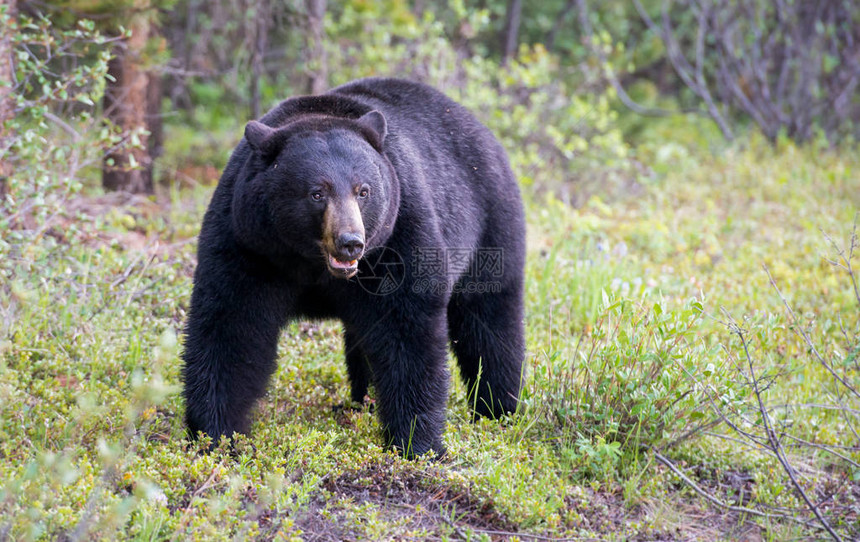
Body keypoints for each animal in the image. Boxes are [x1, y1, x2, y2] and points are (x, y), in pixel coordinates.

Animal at [183, 77, 524, 460]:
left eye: (364, 190)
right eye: (317, 192)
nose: (351, 242)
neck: (311, 264)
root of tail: (479, 127)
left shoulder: (398, 237)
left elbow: (407, 330)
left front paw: (416, 443)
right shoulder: (249, 242)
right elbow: (231, 326)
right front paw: (214, 434)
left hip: (490, 223)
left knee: (490, 320)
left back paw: (497, 408)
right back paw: (363, 400)